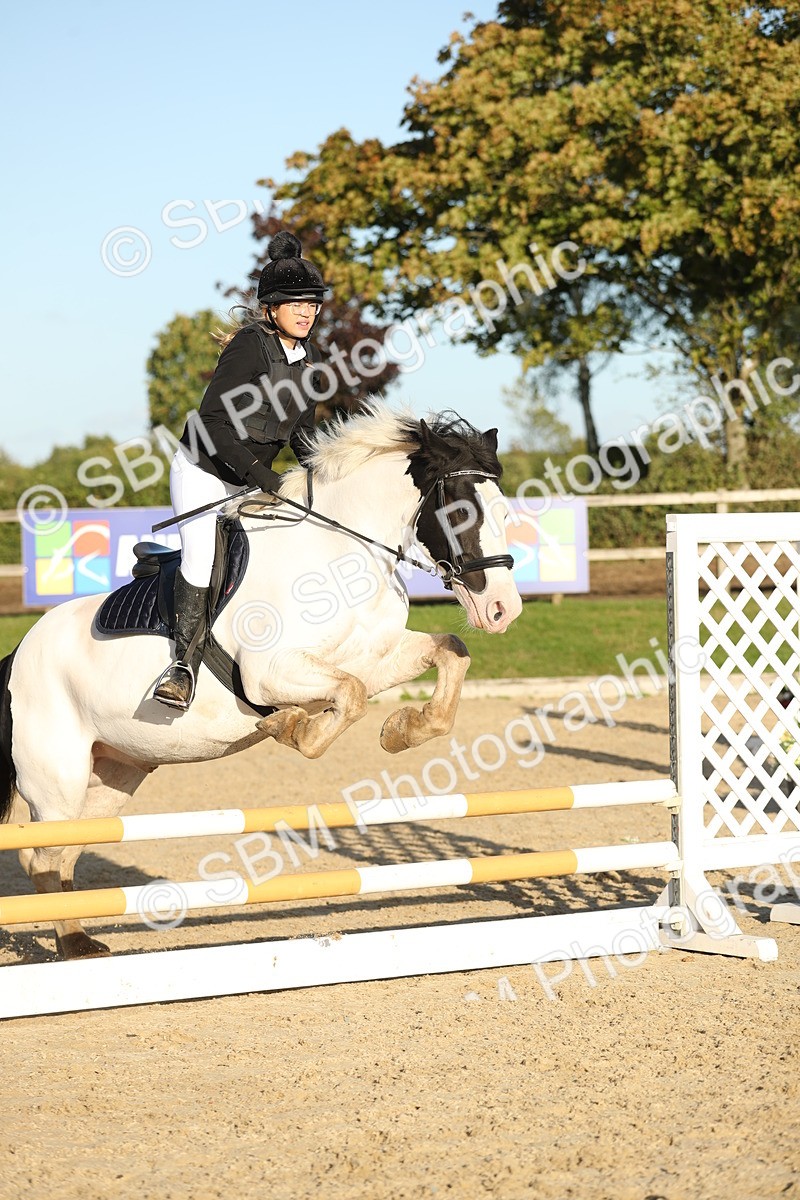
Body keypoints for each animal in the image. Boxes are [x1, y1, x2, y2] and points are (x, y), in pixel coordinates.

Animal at [0, 403, 522, 959]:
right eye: (462, 513)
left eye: (505, 514)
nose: (503, 610)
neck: (340, 554)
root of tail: (19, 653)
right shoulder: (270, 674)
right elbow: (350, 697)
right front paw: (293, 728)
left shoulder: (375, 658)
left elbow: (449, 654)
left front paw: (403, 730)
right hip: (57, 780)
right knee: (41, 858)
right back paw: (74, 945)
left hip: (111, 778)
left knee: (63, 855)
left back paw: (79, 941)